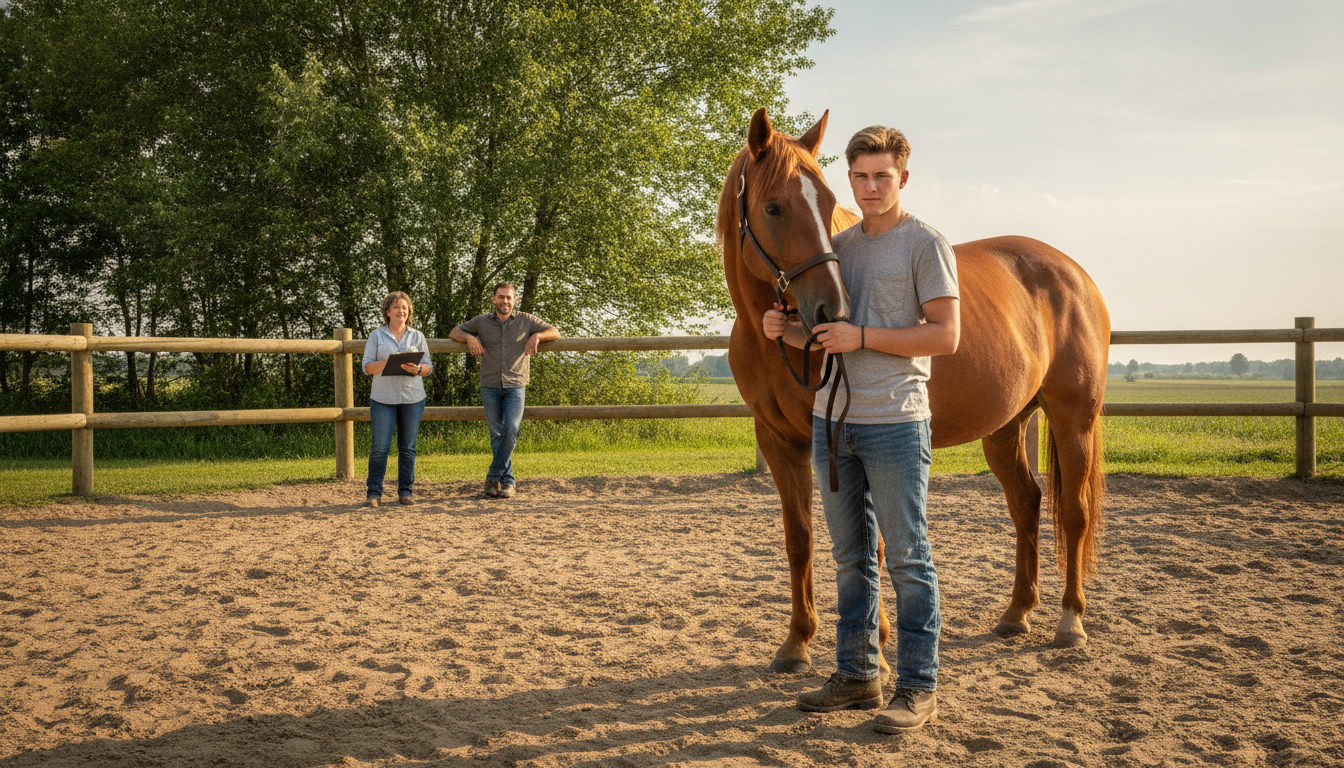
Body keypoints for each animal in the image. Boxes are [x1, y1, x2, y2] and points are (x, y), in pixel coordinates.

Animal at [717, 107, 1110, 674]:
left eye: (830, 204)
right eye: (773, 207)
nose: (833, 311)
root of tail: (1076, 275)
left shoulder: (851, 439)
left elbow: (873, 546)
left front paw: (877, 650)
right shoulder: (779, 441)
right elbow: (800, 540)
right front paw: (796, 643)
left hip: (1072, 415)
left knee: (1074, 513)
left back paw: (1070, 620)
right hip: (1006, 426)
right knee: (1027, 503)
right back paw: (1016, 613)